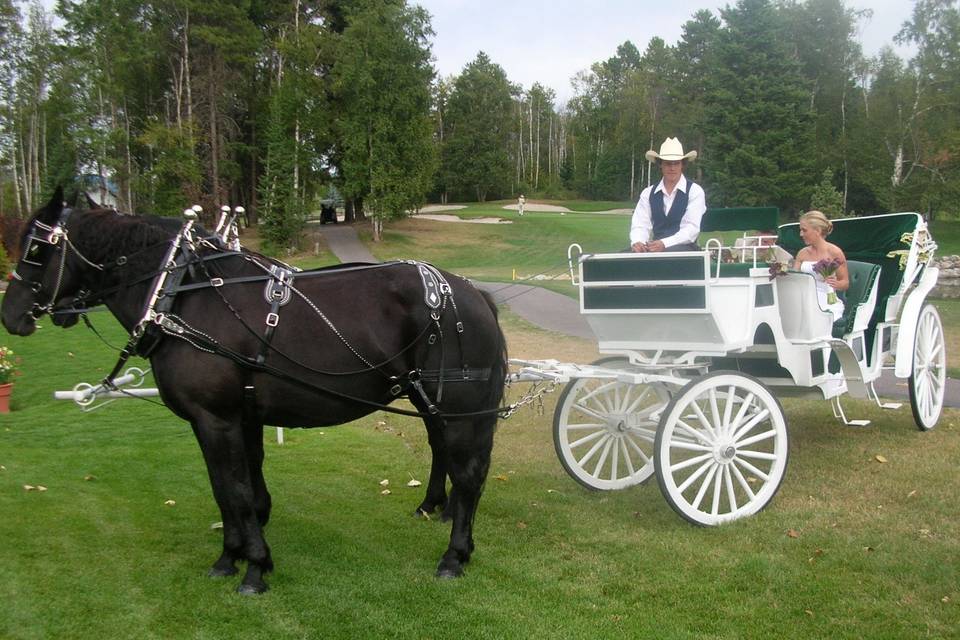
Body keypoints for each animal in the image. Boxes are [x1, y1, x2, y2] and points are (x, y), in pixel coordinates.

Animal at [1, 190, 510, 596]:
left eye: (36, 248)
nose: (12, 315)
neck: (182, 294)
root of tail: (473, 294)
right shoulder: (239, 418)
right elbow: (235, 489)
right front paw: (232, 556)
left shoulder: (215, 419)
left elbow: (235, 490)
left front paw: (255, 568)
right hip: (430, 399)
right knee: (444, 454)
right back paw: (436, 510)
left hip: (461, 406)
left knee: (469, 475)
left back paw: (454, 555)